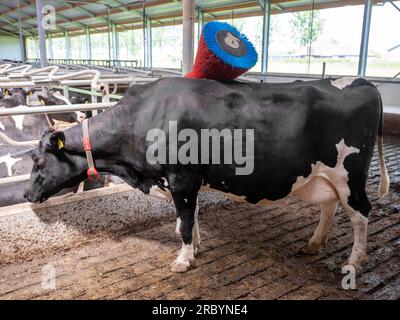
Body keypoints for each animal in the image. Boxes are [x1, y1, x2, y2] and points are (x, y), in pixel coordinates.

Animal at [23, 77, 390, 272]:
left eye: (38, 161)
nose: (26, 194)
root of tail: (363, 82)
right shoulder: (187, 180)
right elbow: (189, 217)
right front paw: (196, 246)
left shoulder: (182, 177)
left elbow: (184, 222)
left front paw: (184, 259)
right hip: (324, 176)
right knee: (330, 206)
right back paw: (313, 244)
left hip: (350, 175)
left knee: (361, 215)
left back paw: (354, 262)